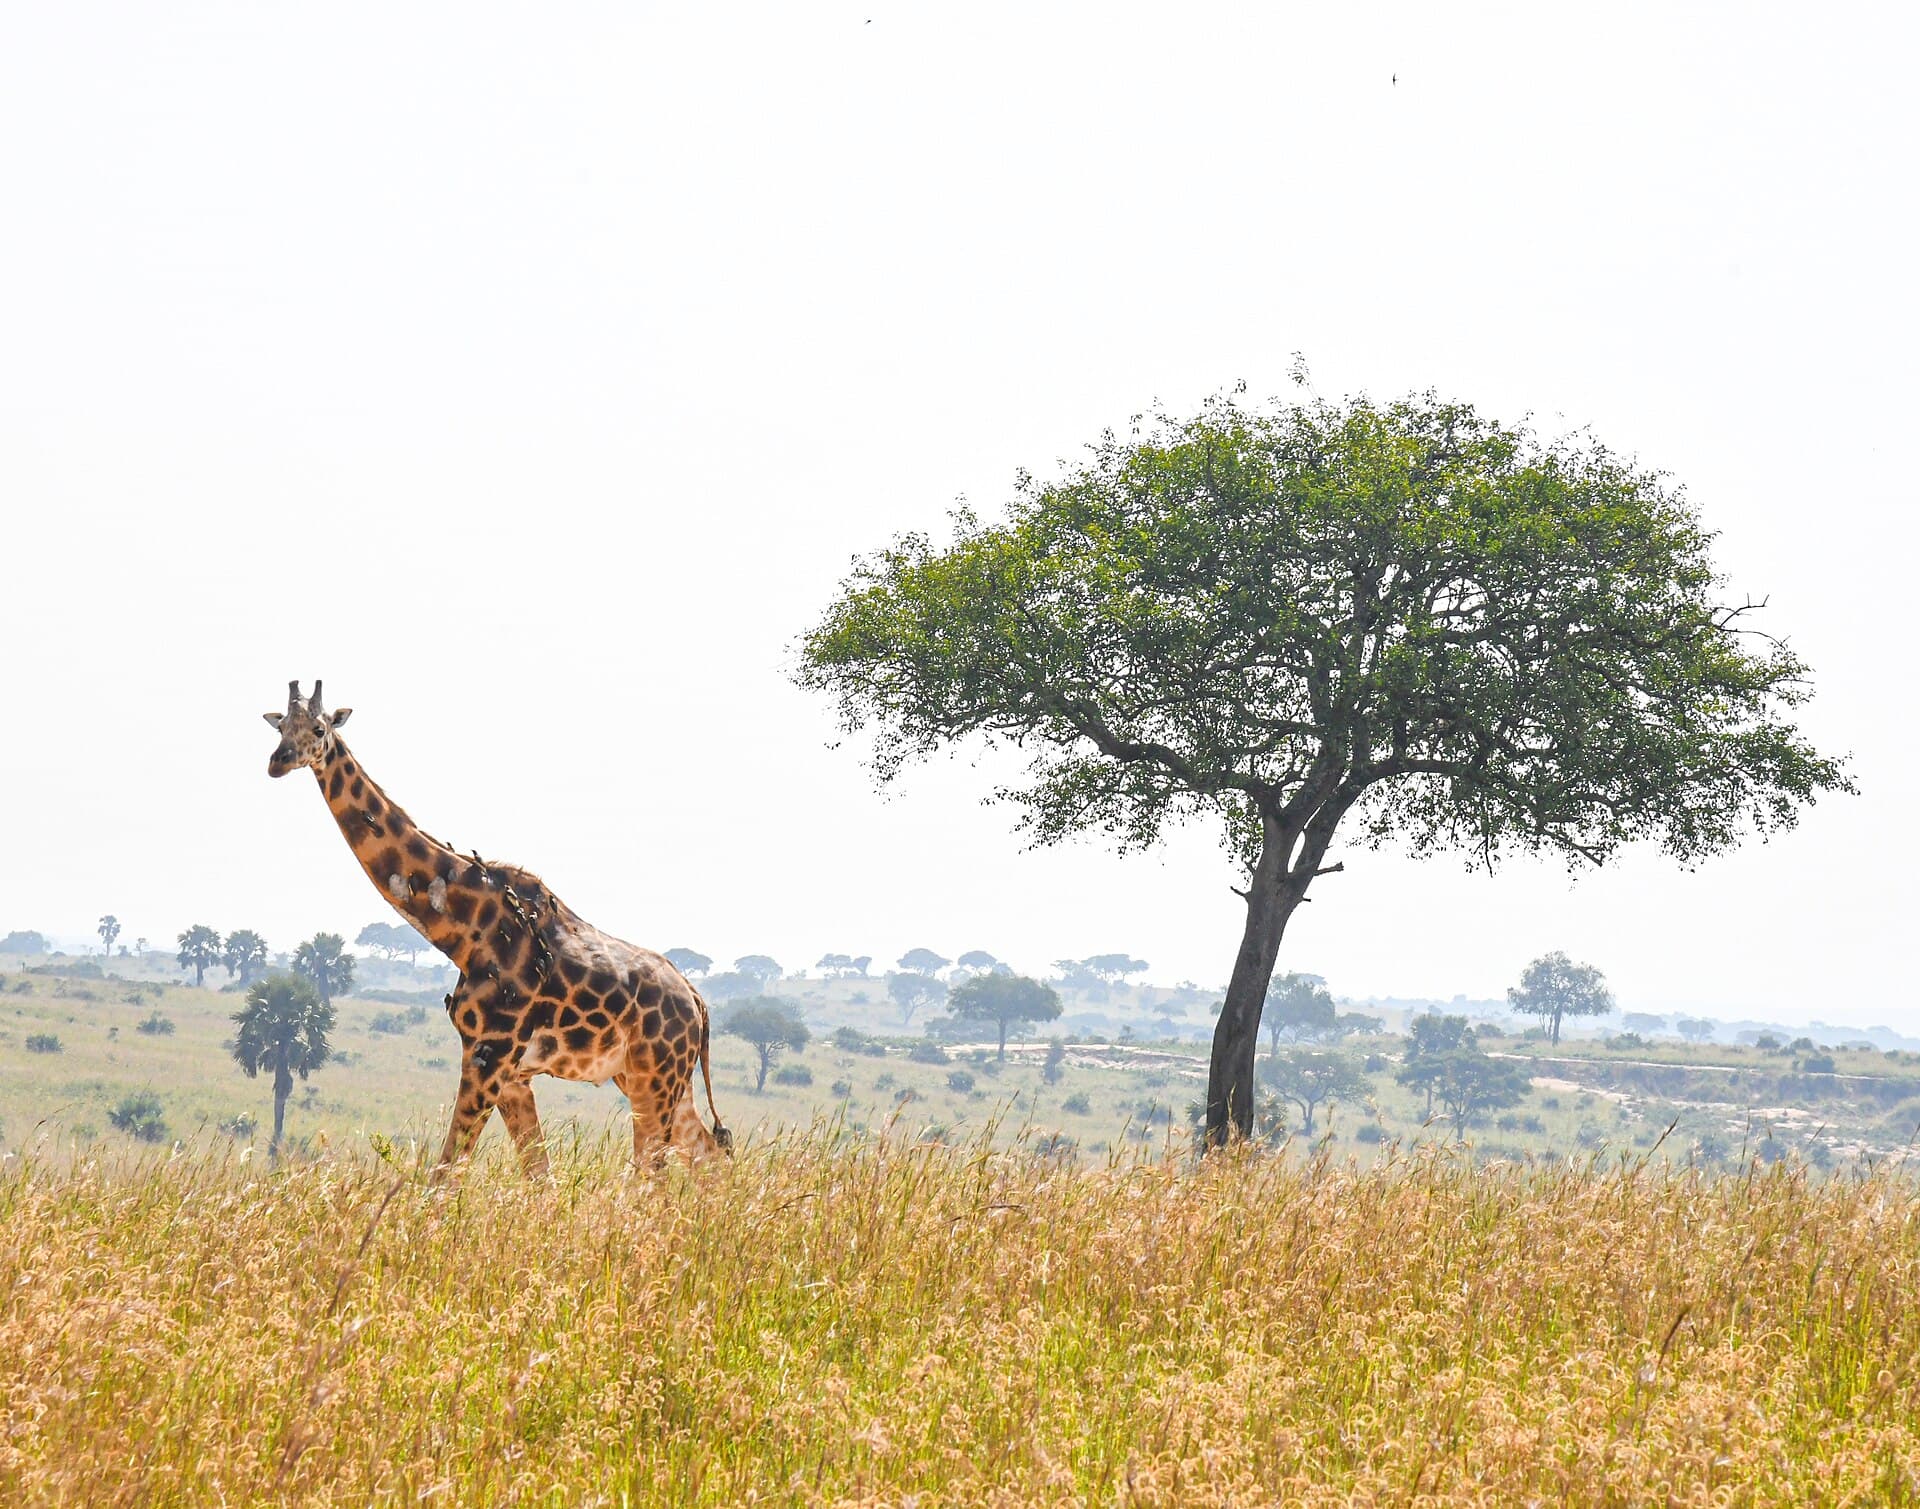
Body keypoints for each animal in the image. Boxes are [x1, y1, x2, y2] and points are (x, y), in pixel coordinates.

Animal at [263, 680, 730, 1177]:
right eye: (280, 727)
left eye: (318, 728)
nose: (278, 761)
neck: (463, 931)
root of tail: (698, 1003)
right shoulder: (509, 1072)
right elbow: (538, 1174)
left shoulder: (490, 1054)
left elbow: (446, 1171)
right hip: (652, 1078)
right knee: (708, 1151)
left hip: (655, 1079)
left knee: (654, 1171)